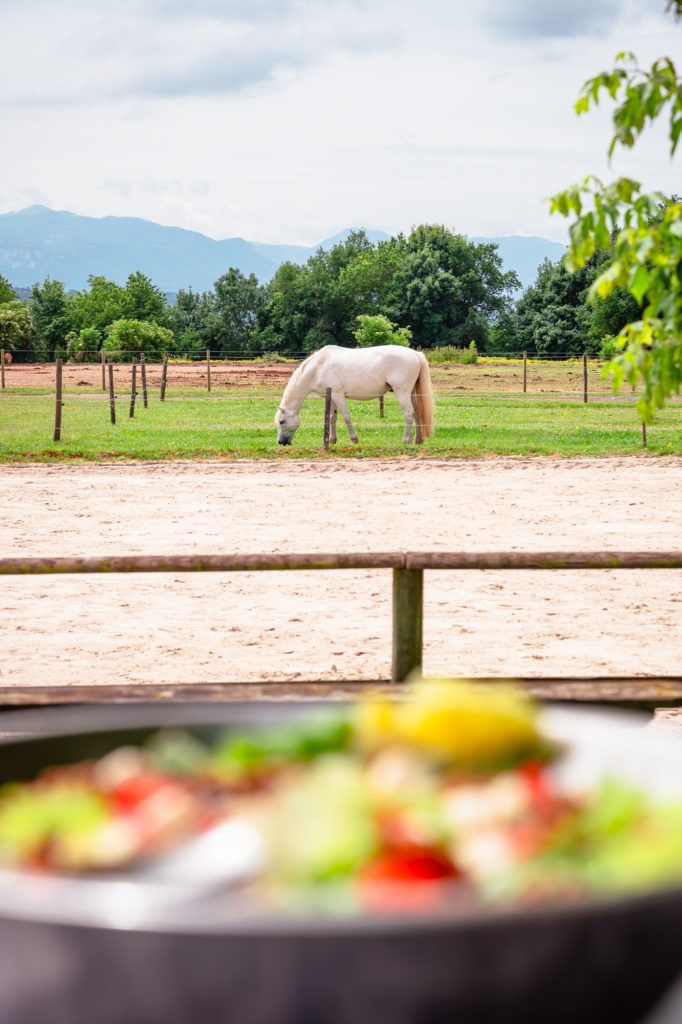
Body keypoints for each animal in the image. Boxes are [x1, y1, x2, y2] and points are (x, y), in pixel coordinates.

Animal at [275, 344, 434, 446]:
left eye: (282, 421)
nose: (281, 442)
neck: (318, 367)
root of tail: (415, 354)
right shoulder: (331, 397)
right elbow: (332, 417)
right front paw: (332, 440)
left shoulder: (338, 395)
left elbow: (346, 417)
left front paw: (353, 439)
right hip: (412, 393)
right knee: (417, 413)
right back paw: (417, 440)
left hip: (402, 393)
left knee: (409, 414)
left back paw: (406, 440)